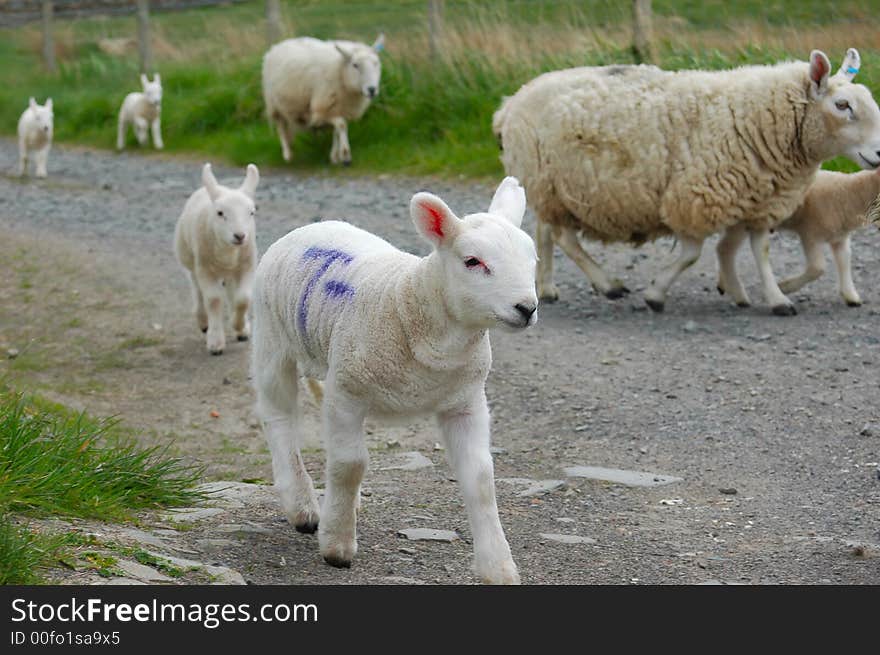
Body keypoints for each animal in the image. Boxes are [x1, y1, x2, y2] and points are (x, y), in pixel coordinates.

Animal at [174, 162, 260, 356]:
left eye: (251, 213)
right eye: (220, 213)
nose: (240, 236)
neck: (228, 251)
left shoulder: (247, 265)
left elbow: (243, 298)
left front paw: (239, 326)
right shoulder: (205, 269)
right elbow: (213, 300)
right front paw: (215, 341)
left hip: (231, 272)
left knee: (232, 293)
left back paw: (240, 329)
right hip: (191, 261)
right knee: (197, 291)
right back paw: (203, 322)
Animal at [248, 176, 536, 584]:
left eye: (532, 260)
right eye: (472, 261)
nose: (526, 308)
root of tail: (312, 226)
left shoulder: (465, 401)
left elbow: (480, 478)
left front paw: (498, 567)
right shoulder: (347, 393)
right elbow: (349, 464)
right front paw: (337, 545)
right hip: (273, 340)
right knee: (279, 417)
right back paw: (302, 505)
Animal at [262, 33, 384, 167]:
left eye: (376, 63)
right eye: (355, 65)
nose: (372, 89)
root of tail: (277, 45)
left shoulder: (339, 108)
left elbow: (337, 130)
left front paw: (335, 157)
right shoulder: (322, 109)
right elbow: (341, 125)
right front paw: (345, 156)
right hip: (273, 104)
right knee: (281, 127)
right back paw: (287, 154)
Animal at [716, 165, 880, 308]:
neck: (849, 194)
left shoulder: (840, 239)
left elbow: (845, 261)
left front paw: (851, 296)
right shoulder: (810, 233)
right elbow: (818, 267)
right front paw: (785, 287)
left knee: (725, 247)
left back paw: (724, 284)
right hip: (743, 222)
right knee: (725, 248)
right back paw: (738, 294)